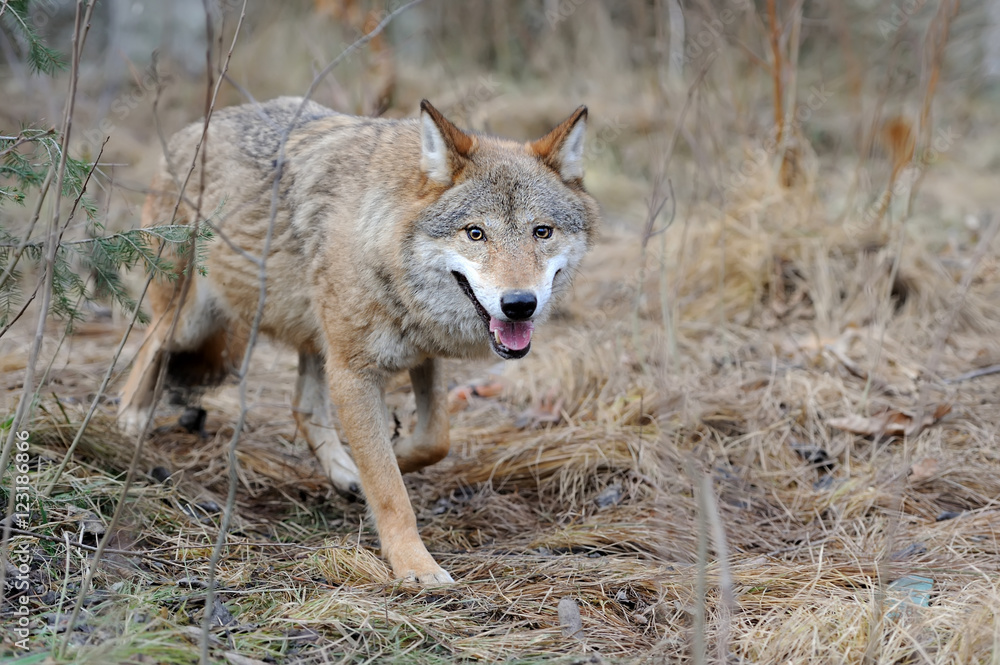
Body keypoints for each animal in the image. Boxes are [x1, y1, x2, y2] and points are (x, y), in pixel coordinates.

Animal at [118, 97, 600, 583]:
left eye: (542, 231)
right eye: (475, 232)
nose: (519, 304)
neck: (382, 241)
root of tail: (194, 128)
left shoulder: (421, 352)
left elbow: (435, 438)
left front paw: (396, 454)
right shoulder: (354, 373)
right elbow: (390, 492)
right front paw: (414, 565)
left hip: (315, 339)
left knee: (303, 407)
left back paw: (343, 472)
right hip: (192, 320)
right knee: (145, 348)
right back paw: (129, 424)